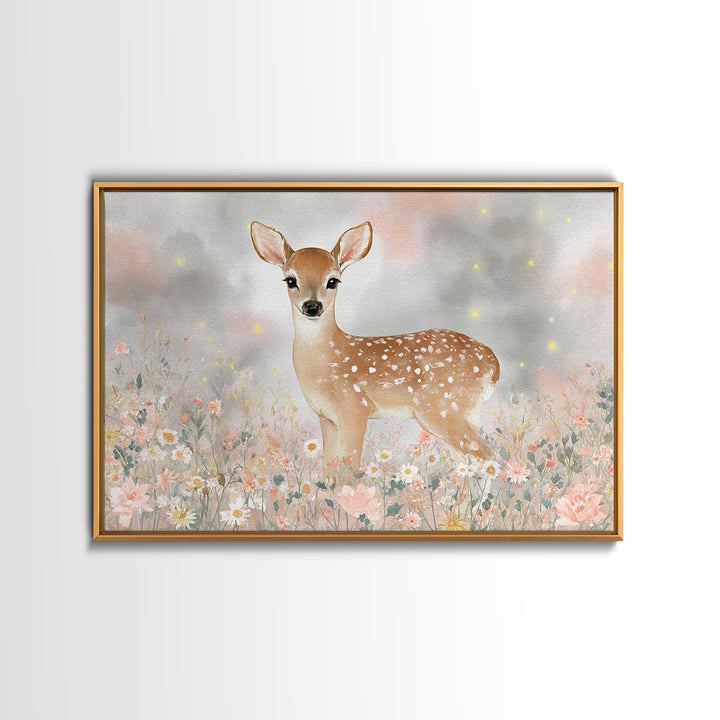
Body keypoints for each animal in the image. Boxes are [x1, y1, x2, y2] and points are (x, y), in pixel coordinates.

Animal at [250, 221, 500, 480]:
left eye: (333, 281)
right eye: (290, 280)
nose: (312, 306)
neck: (327, 358)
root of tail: (493, 364)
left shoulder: (355, 407)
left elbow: (349, 469)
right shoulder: (327, 417)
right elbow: (329, 470)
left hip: (441, 409)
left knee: (486, 456)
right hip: (459, 413)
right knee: (468, 462)